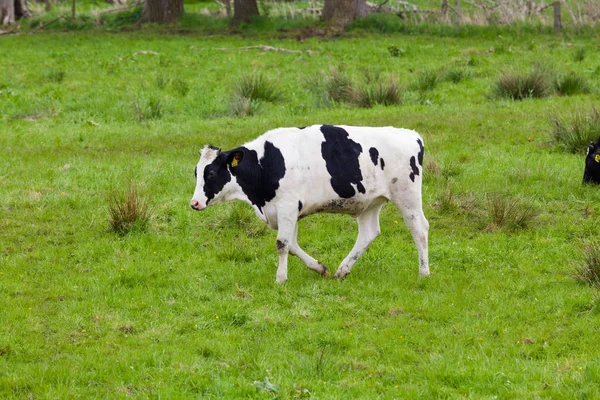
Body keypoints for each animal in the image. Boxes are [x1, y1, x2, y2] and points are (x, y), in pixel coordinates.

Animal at [190, 123, 428, 282]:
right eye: (196, 172)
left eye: (210, 173)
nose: (194, 203)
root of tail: (411, 134)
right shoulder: (289, 211)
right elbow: (293, 245)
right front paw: (319, 268)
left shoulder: (286, 206)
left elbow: (282, 243)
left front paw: (280, 278)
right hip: (369, 202)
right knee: (369, 233)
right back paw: (342, 270)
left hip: (407, 195)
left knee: (419, 228)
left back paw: (424, 272)